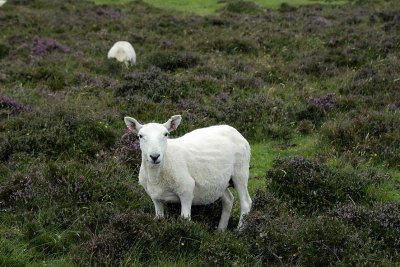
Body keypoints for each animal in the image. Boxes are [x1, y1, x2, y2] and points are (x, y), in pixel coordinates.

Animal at [123, 114, 252, 230]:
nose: (154, 156)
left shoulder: (186, 191)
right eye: (140, 136)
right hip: (220, 181)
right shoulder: (156, 198)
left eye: (166, 134)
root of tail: (234, 130)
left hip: (240, 171)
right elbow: (159, 218)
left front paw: (184, 230)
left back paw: (240, 231)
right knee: (229, 200)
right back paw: (221, 231)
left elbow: (185, 219)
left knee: (246, 203)